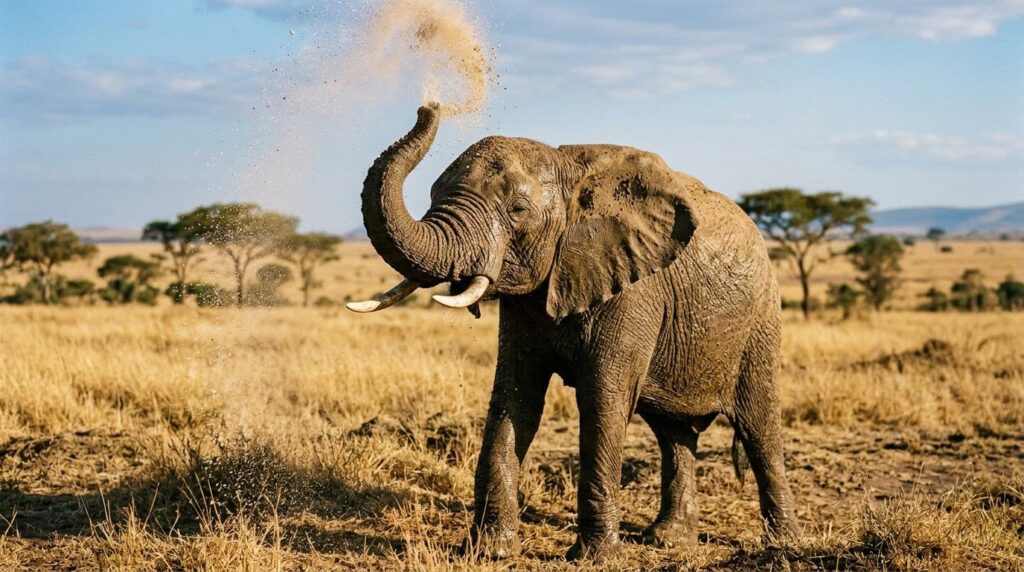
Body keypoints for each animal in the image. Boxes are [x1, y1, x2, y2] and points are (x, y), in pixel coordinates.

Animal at [347, 103, 800, 560]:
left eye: (517, 210)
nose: (429, 107)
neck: (567, 167)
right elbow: (516, 397)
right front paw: (489, 551)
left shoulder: (633, 289)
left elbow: (602, 399)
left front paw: (595, 558)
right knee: (672, 431)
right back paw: (668, 540)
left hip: (761, 321)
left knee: (759, 428)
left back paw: (783, 542)